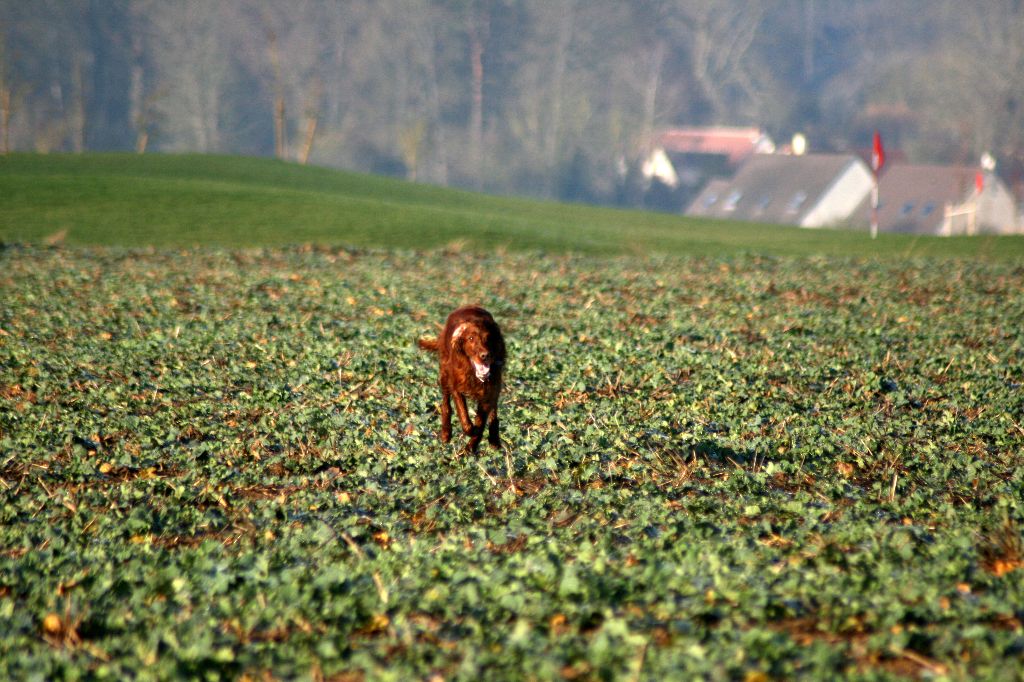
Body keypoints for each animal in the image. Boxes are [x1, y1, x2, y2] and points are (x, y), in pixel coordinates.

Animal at [415, 305, 503, 448]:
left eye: (489, 338)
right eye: (471, 339)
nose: (485, 355)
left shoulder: (489, 391)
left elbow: (482, 420)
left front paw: (471, 447)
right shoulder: (456, 386)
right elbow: (464, 415)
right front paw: (471, 432)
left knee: (493, 411)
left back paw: (494, 439)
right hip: (444, 376)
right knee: (446, 405)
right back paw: (446, 434)